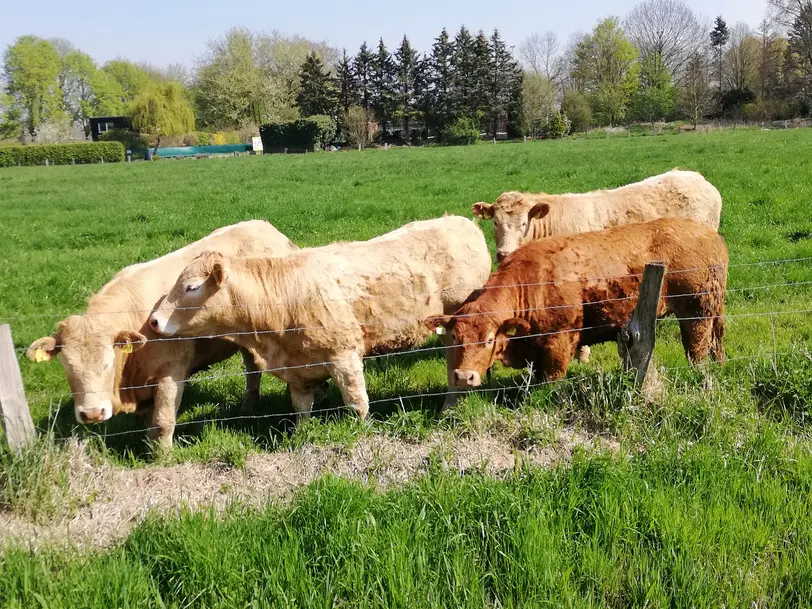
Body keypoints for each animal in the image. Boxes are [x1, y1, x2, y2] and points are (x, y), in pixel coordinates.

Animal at [25, 221, 300, 448]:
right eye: (67, 366)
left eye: (107, 364)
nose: (92, 414)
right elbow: (150, 423)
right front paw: (150, 448)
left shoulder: (172, 371)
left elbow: (163, 420)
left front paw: (163, 455)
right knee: (252, 369)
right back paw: (247, 407)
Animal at [148, 215, 492, 418]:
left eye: (191, 287)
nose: (154, 320)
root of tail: (460, 221)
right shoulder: (298, 370)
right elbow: (301, 410)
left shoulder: (345, 356)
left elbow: (357, 404)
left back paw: (448, 407)